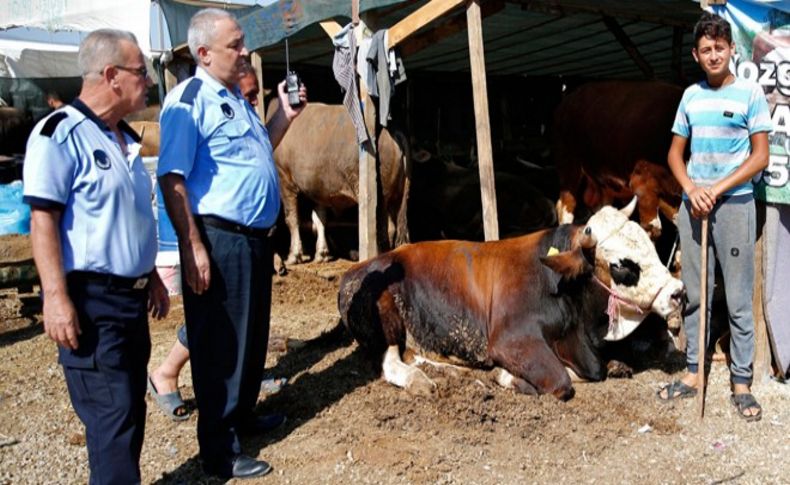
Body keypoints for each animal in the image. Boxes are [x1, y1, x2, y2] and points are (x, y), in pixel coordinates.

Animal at [270, 99, 412, 264]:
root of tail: (394, 131)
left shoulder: (284, 179)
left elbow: (292, 219)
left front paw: (293, 255)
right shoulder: (318, 187)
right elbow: (320, 219)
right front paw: (321, 254)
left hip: (380, 195)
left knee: (383, 228)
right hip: (400, 195)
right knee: (393, 227)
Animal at [338, 199, 688, 398]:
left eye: (651, 245)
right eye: (622, 265)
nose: (678, 292)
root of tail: (357, 268)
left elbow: (602, 367)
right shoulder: (511, 340)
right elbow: (561, 381)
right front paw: (504, 375)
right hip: (385, 320)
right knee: (390, 362)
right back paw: (419, 380)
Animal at [552, 81, 684, 238]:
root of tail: (567, 100)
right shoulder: (643, 184)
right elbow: (651, 228)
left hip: (602, 183)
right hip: (569, 167)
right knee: (566, 207)